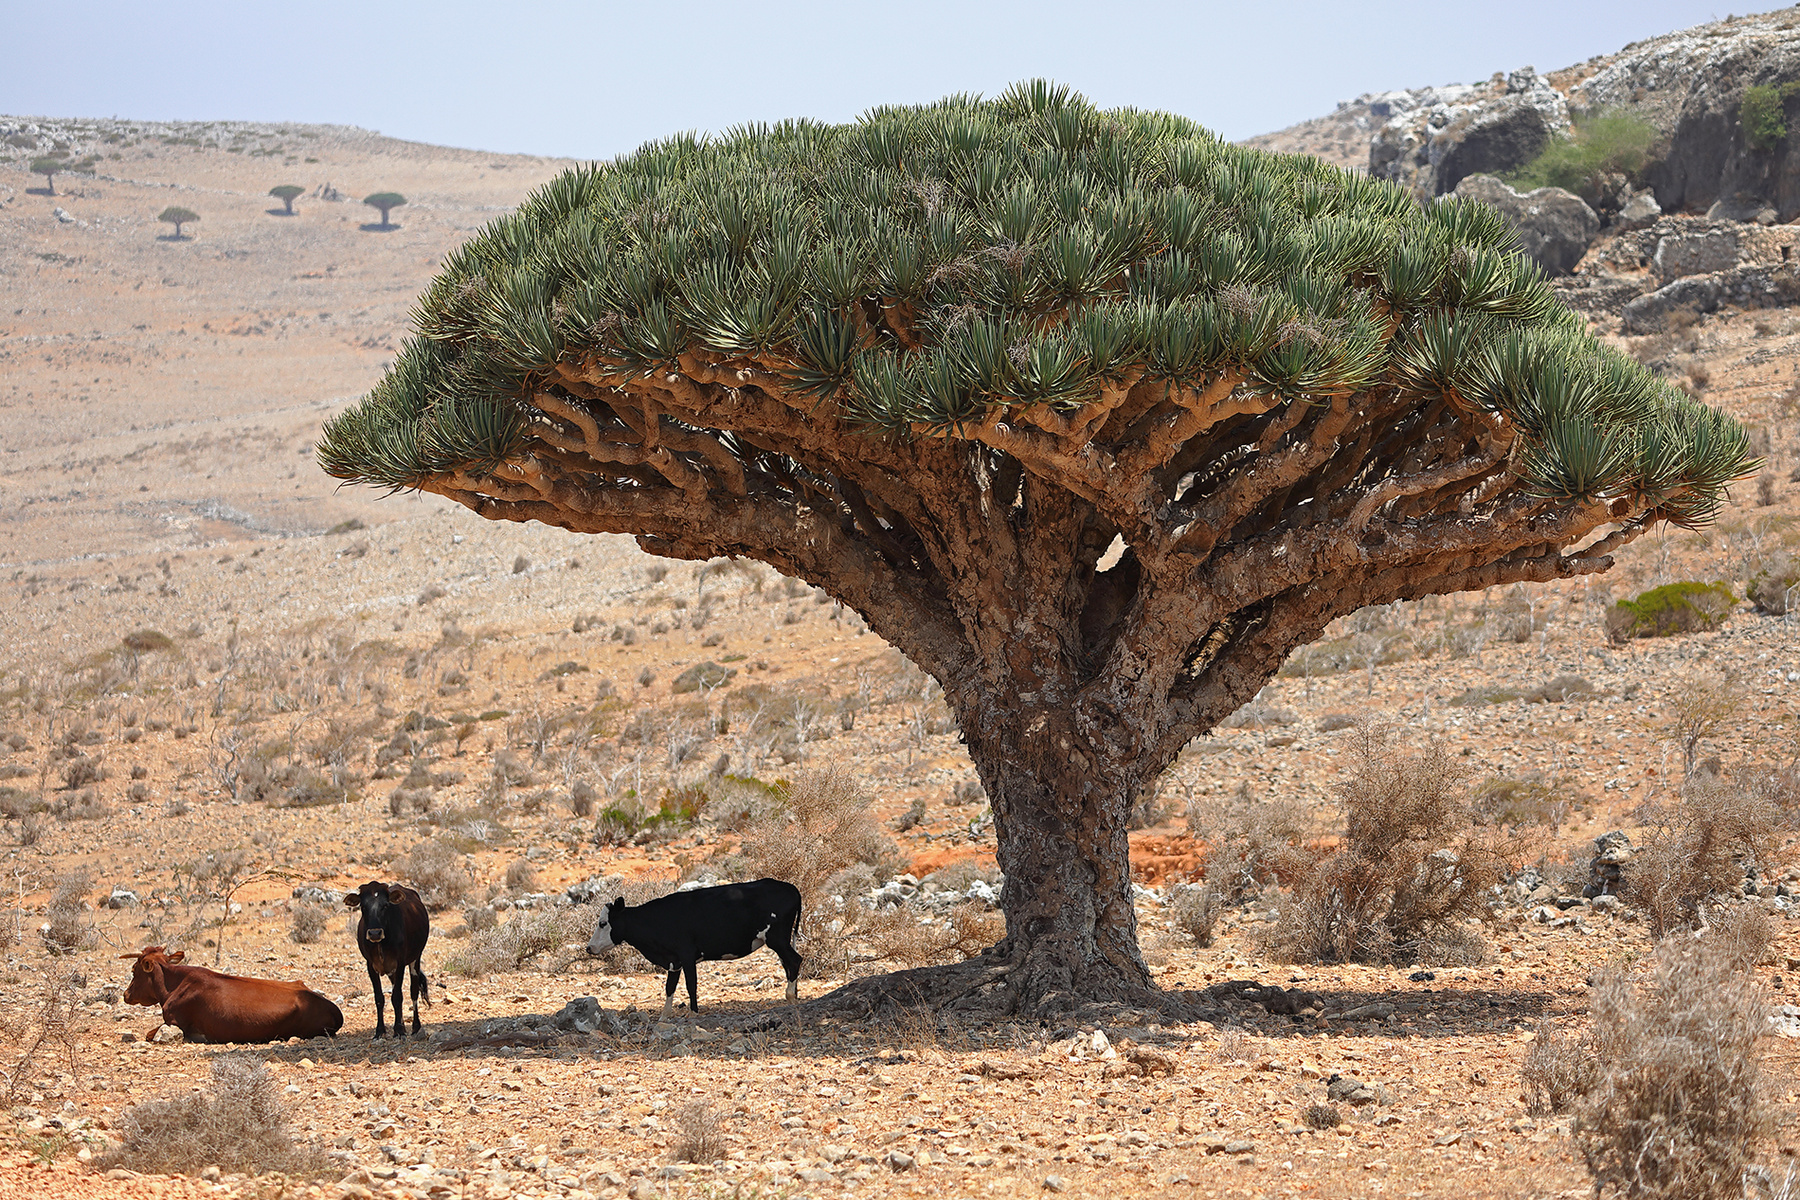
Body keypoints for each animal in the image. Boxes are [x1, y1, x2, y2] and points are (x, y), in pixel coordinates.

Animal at [120, 946, 343, 1043]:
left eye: (134, 970)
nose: (125, 994)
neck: (174, 985)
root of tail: (334, 1009)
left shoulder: (173, 1021)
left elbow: (150, 1034)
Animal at [344, 881, 431, 1038]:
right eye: (363, 906)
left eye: (385, 905)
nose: (374, 933)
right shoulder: (370, 966)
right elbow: (379, 998)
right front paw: (380, 1031)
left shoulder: (400, 963)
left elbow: (397, 996)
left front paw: (399, 1030)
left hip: (416, 958)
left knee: (413, 991)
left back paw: (415, 1027)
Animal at [585, 878, 803, 1015]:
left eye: (602, 923)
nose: (589, 948)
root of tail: (791, 888)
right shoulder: (674, 961)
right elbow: (669, 988)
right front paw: (664, 1017)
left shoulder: (687, 956)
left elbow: (691, 986)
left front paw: (693, 1014)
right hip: (781, 941)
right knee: (788, 965)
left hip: (777, 939)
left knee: (795, 960)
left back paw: (791, 997)